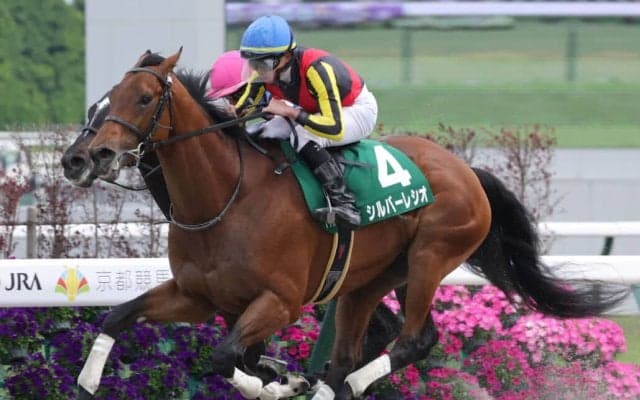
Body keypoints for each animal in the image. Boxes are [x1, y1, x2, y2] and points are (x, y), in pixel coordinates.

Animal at [78, 48, 627, 400]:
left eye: (144, 98)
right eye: (107, 97)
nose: (93, 155)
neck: (224, 200)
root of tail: (467, 170)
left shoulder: (280, 300)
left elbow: (225, 355)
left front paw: (276, 384)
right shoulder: (198, 296)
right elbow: (118, 316)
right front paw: (87, 381)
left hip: (432, 255)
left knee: (411, 341)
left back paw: (342, 385)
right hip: (370, 280)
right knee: (363, 347)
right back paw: (330, 382)